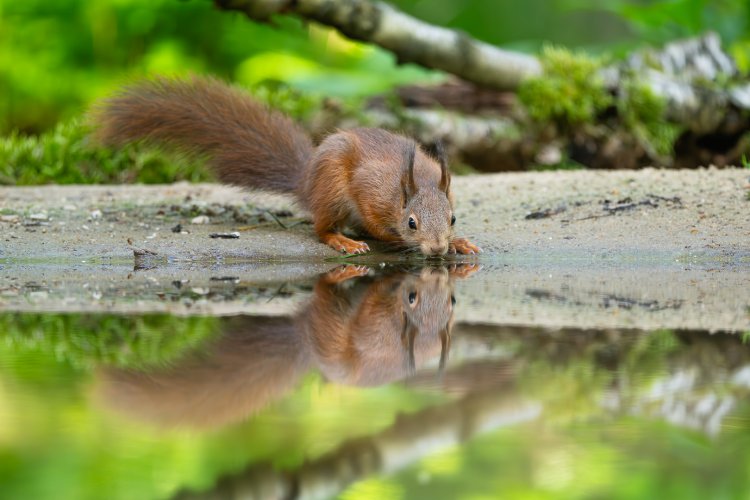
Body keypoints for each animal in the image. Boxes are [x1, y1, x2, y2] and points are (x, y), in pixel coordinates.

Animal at [94, 78, 482, 258]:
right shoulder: (369, 191)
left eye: (453, 218)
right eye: (412, 222)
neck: (408, 187)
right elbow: (375, 223)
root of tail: (306, 182)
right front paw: (393, 239)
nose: (437, 249)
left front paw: (460, 242)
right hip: (331, 191)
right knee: (321, 228)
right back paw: (343, 241)